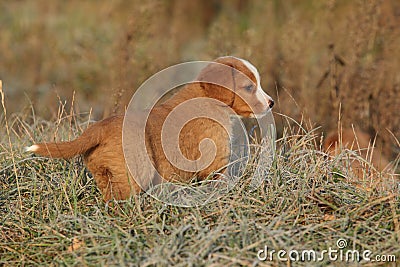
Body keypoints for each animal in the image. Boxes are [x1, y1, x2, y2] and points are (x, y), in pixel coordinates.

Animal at [26, 57, 274, 203]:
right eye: (249, 88)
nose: (271, 103)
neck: (208, 98)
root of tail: (98, 129)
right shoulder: (215, 163)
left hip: (105, 174)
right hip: (135, 172)